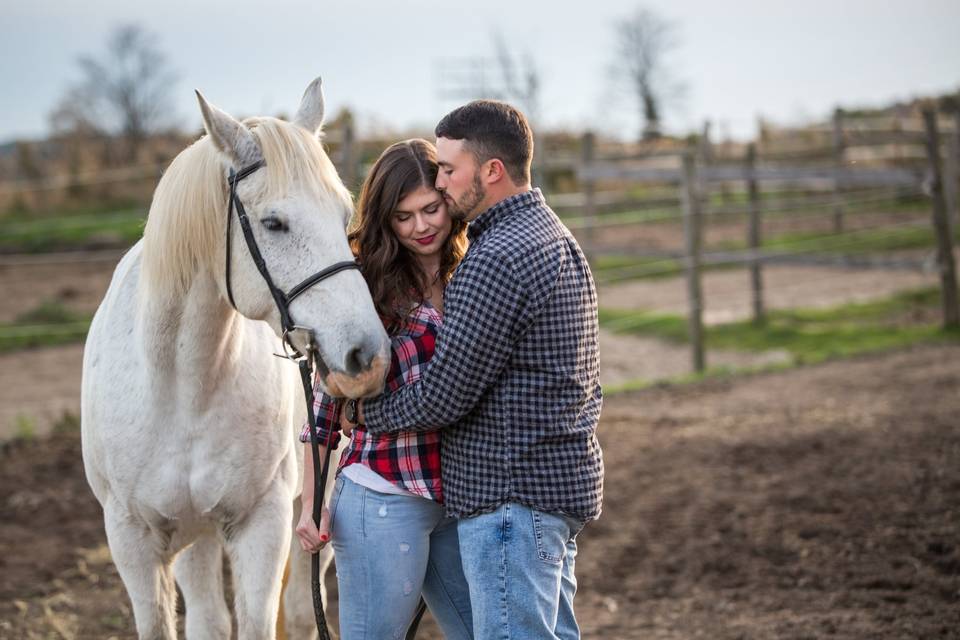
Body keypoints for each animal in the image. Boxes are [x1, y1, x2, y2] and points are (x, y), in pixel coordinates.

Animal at [79, 77, 386, 636]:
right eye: (274, 223)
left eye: (343, 215)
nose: (367, 354)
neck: (181, 388)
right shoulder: (132, 539)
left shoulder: (262, 523)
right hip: (195, 534)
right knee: (209, 617)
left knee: (300, 610)